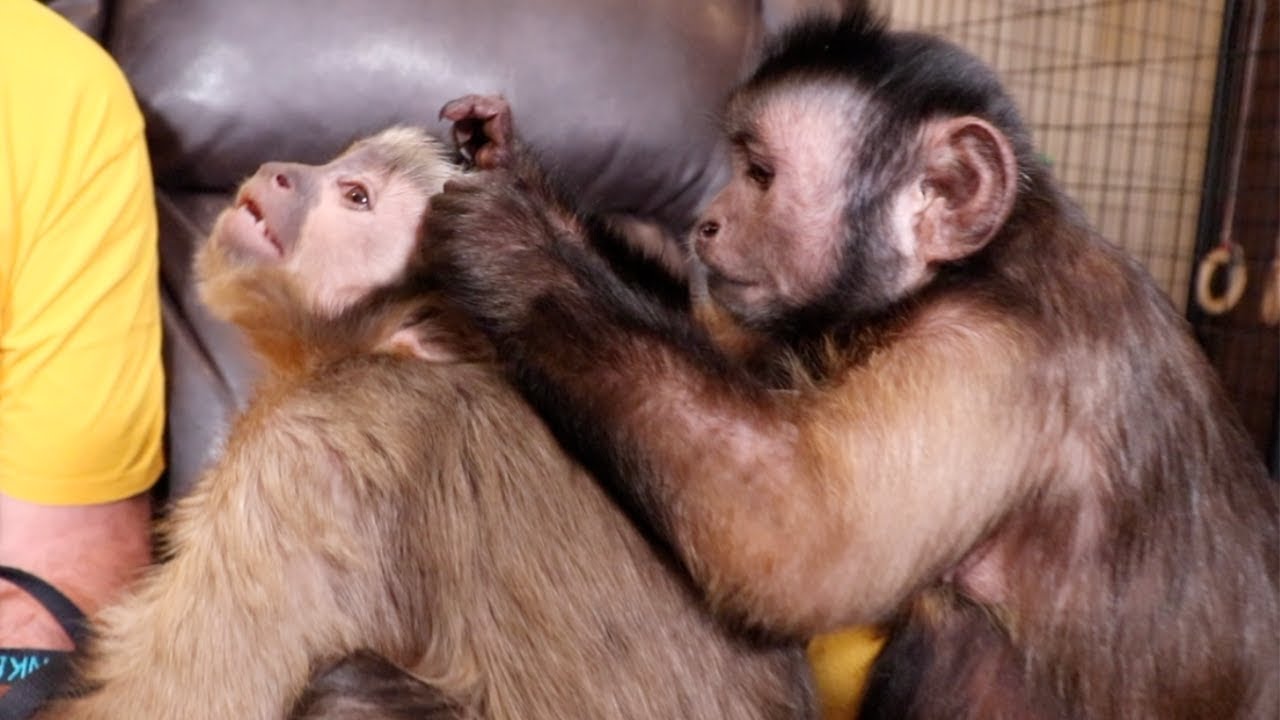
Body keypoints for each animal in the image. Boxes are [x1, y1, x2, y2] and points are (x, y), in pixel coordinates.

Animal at [426, 7, 1280, 719]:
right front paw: (519, 169)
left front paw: (516, 245)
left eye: (760, 174)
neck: (965, 267)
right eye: (737, 167)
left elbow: (799, 541)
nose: (706, 222)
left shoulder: (995, 351)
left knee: (955, 624)